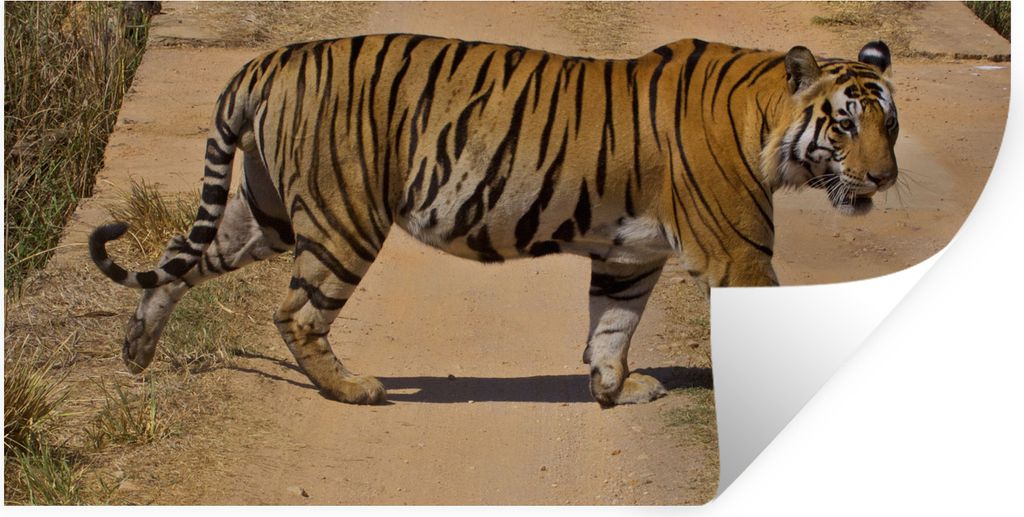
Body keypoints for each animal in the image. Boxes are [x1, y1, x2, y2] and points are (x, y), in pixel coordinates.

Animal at [89, 35, 899, 407]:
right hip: (344, 218)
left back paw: (135, 350)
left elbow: (612, 325)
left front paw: (614, 390)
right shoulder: (739, 255)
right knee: (296, 313)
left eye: (890, 123)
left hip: (265, 215)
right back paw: (354, 389)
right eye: (847, 124)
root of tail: (267, 61)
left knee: (178, 260)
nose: (886, 178)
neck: (767, 119)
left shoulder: (629, 255)